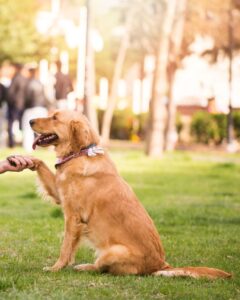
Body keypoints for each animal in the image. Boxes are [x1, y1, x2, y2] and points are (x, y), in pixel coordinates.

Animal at [27, 110, 231, 278]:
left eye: (55, 117)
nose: (29, 120)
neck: (80, 153)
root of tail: (161, 265)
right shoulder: (59, 194)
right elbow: (41, 164)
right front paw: (28, 161)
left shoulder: (73, 217)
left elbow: (65, 248)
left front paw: (56, 268)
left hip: (112, 252)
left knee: (102, 269)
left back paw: (84, 267)